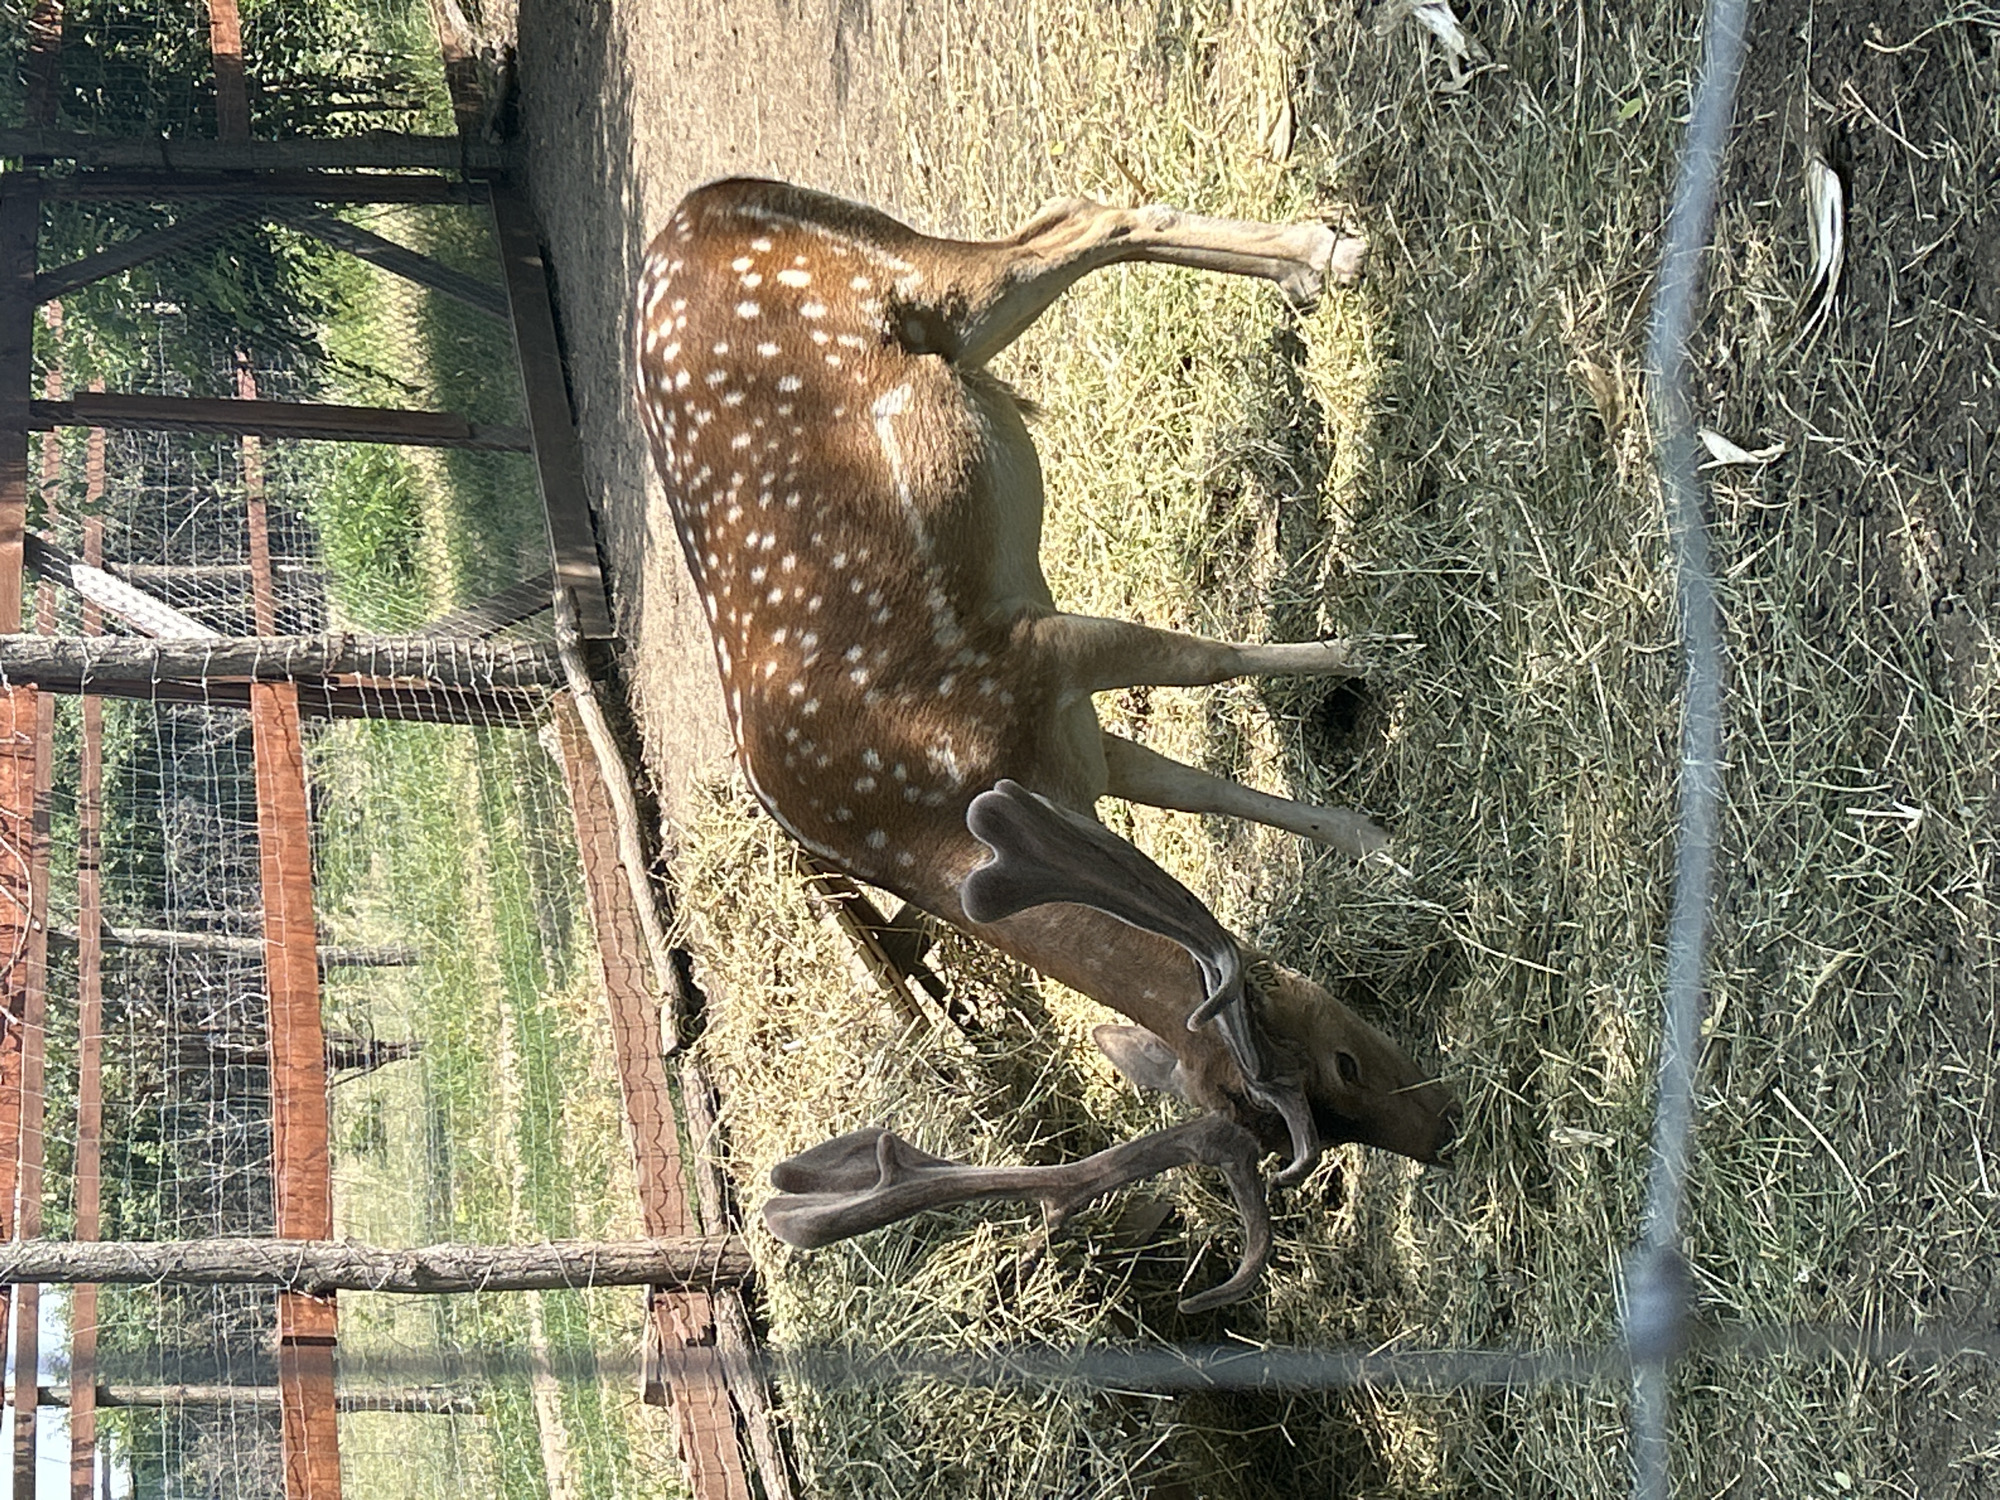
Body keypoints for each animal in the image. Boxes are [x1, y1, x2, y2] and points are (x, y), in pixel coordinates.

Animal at [634, 179, 1456, 1312]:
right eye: (1335, 1083)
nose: (1447, 1132)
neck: (946, 819)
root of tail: (701, 206)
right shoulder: (1075, 754)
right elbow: (1204, 790)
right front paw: (1379, 842)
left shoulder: (1028, 648)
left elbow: (1201, 659)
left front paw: (1372, 648)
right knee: (1069, 221)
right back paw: (1310, 266)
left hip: (933, 292)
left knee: (1084, 219)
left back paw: (1331, 254)